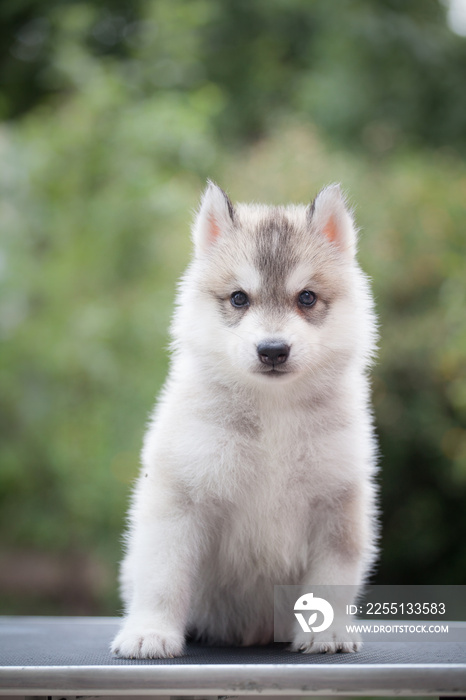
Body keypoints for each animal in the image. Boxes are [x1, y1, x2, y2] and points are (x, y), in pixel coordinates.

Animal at [112, 180, 378, 656]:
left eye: (306, 297)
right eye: (239, 298)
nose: (273, 350)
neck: (273, 410)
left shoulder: (338, 502)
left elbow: (332, 578)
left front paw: (326, 632)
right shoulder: (180, 498)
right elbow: (163, 576)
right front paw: (150, 633)